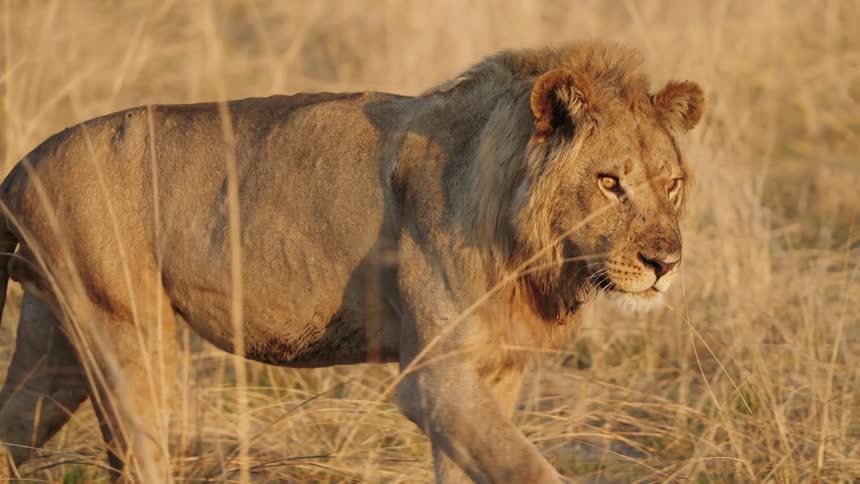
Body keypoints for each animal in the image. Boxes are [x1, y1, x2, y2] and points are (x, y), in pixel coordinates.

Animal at [0, 42, 703, 482]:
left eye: (671, 186)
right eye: (610, 182)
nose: (664, 262)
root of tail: (21, 168)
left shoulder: (492, 376)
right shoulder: (432, 377)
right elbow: (525, 468)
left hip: (54, 344)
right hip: (124, 334)